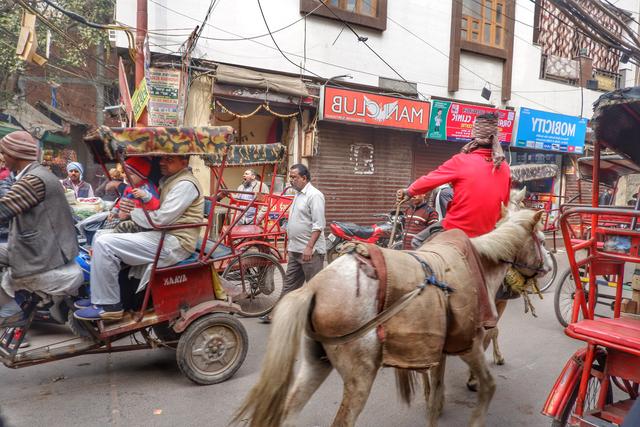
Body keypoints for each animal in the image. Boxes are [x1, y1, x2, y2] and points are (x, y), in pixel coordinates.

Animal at [232, 210, 552, 427]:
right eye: (541, 239)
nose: (549, 266)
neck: (479, 266)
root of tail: (314, 288)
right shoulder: (469, 344)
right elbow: (489, 384)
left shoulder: (440, 346)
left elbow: (436, 389)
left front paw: (436, 409)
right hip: (360, 375)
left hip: (315, 363)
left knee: (288, 410)